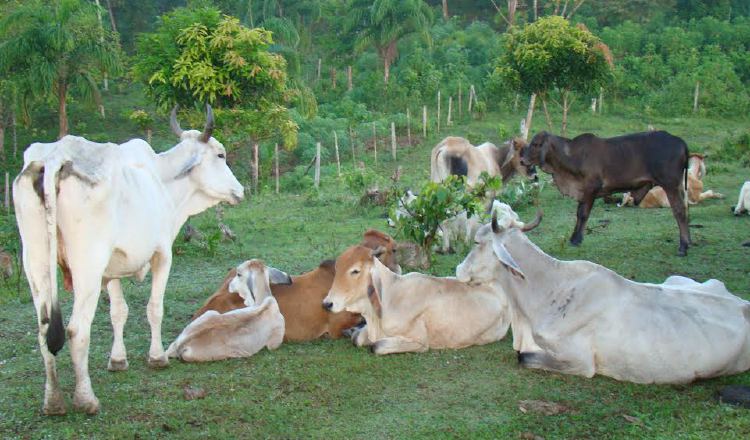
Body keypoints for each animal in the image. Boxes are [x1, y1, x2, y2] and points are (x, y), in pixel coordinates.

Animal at [13, 106, 244, 416]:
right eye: (220, 155)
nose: (240, 190)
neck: (161, 179)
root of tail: (54, 159)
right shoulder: (163, 255)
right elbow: (154, 308)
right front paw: (157, 357)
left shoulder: (111, 271)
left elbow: (118, 312)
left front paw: (118, 360)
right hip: (87, 266)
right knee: (76, 330)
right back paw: (86, 399)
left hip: (35, 262)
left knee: (43, 329)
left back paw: (53, 402)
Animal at [320, 246, 516, 356]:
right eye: (337, 268)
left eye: (355, 271)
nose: (327, 303)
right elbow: (358, 338)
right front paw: (353, 331)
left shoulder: (419, 342)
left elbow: (376, 346)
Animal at [524, 129, 692, 256]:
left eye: (536, 144)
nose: (522, 158)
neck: (572, 157)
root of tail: (680, 142)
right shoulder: (583, 192)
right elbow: (578, 213)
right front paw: (573, 238)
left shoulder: (591, 188)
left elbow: (583, 214)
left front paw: (577, 239)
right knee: (685, 209)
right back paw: (689, 242)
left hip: (670, 185)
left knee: (679, 211)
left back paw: (683, 247)